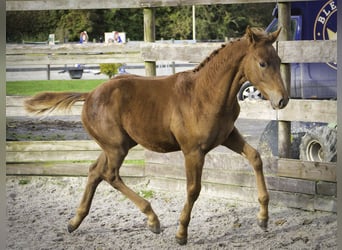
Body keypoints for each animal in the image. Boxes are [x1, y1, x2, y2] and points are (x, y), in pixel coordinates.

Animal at [24, 26, 288, 244]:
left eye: (278, 60)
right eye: (262, 63)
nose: (282, 100)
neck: (206, 94)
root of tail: (89, 95)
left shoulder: (227, 136)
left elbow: (255, 157)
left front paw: (263, 218)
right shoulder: (193, 151)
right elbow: (193, 189)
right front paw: (181, 233)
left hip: (115, 145)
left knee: (94, 171)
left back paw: (74, 222)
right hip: (117, 147)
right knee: (110, 174)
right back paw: (152, 219)